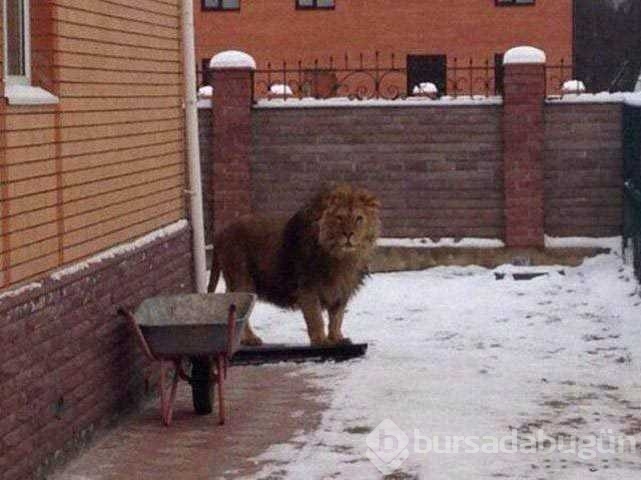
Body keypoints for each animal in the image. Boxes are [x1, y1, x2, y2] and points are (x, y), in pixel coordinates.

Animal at [209, 184, 380, 344]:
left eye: (359, 218)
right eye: (339, 218)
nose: (348, 234)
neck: (341, 257)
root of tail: (220, 233)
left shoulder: (342, 290)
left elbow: (337, 318)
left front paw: (337, 338)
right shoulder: (308, 288)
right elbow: (316, 317)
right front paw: (320, 340)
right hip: (242, 279)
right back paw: (249, 339)